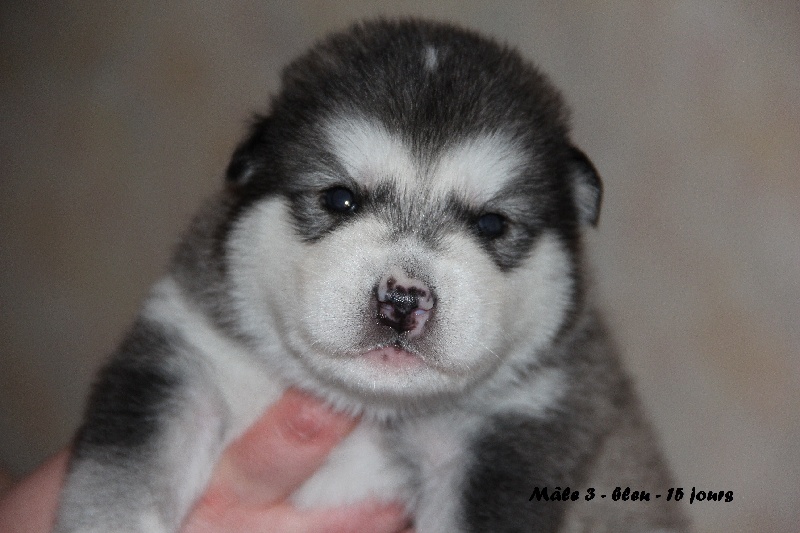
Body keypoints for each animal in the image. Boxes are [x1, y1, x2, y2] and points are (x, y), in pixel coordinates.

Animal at [55, 19, 689, 532]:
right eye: (339, 199)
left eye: (491, 223)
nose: (403, 300)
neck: (366, 408)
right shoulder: (186, 361)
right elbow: (115, 487)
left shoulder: (513, 434)